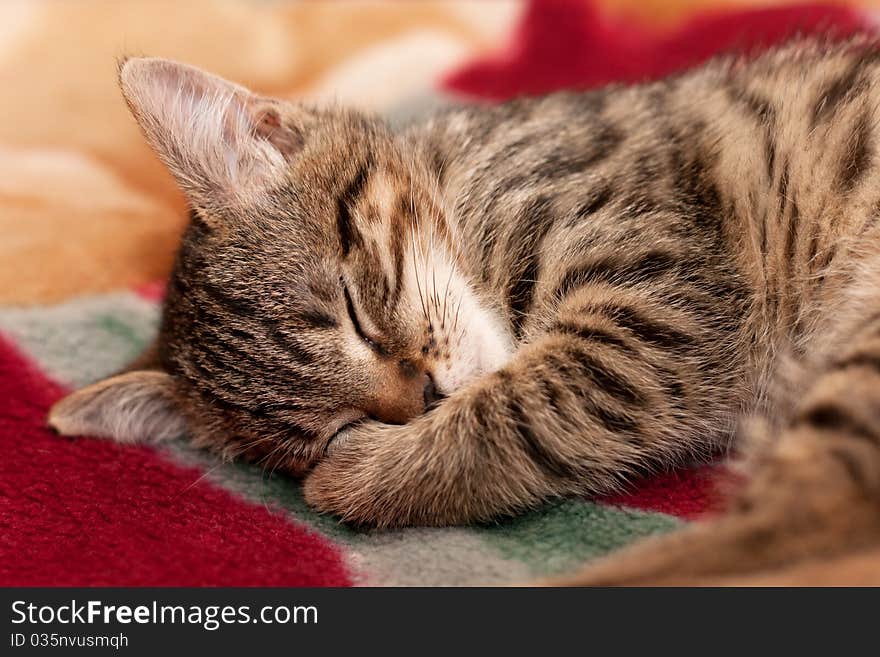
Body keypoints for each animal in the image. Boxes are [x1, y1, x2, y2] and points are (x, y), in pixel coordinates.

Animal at [51, 38, 880, 580]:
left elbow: (516, 407)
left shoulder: (658, 301)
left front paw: (361, 481)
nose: (420, 399)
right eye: (327, 428)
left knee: (820, 505)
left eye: (355, 309)